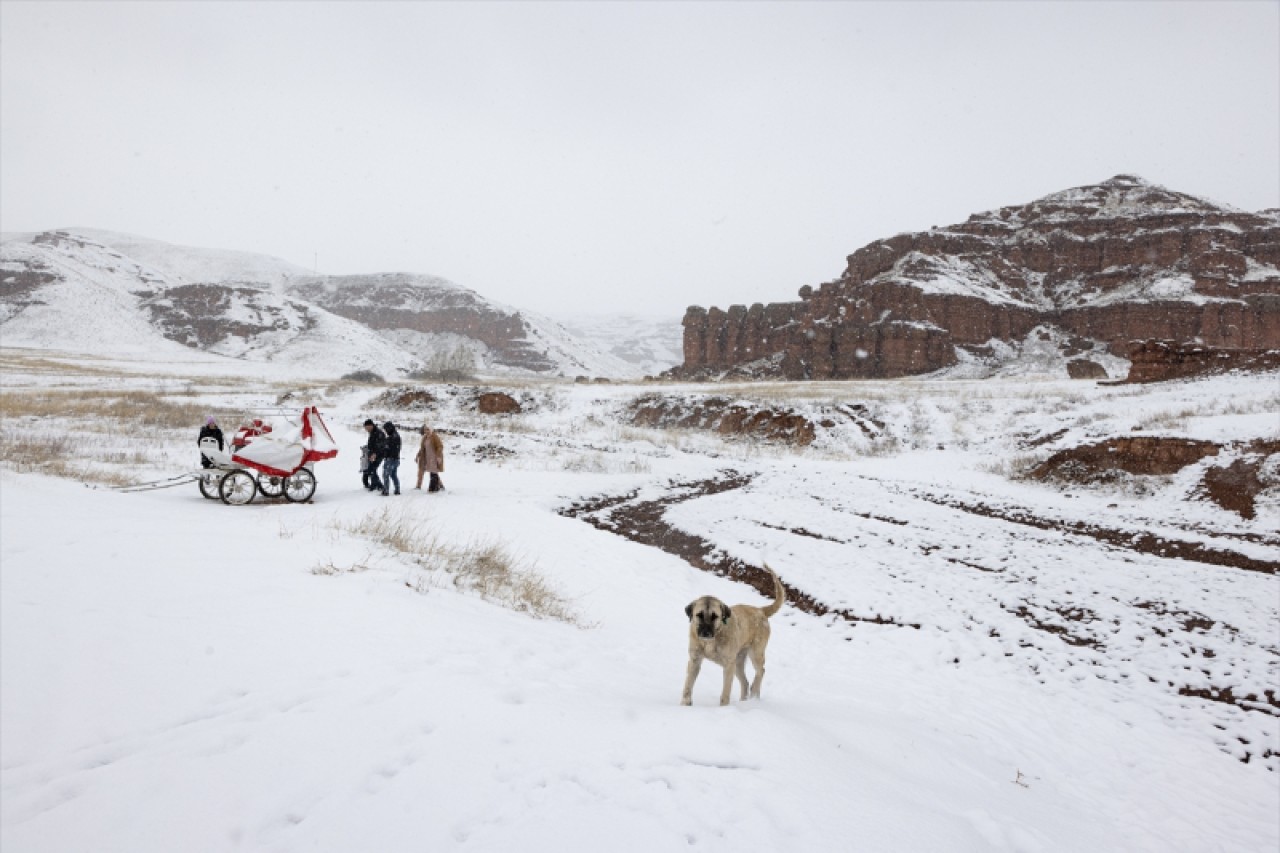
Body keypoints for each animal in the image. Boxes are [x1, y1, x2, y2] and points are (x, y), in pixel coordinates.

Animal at [686, 563, 783, 701]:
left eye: (715, 616)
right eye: (699, 615)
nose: (705, 633)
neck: (712, 640)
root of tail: (760, 610)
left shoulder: (728, 666)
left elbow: (725, 694)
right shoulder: (694, 660)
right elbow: (687, 688)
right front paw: (685, 703)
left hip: (755, 653)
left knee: (761, 671)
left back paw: (755, 693)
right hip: (738, 661)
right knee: (745, 682)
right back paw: (744, 701)